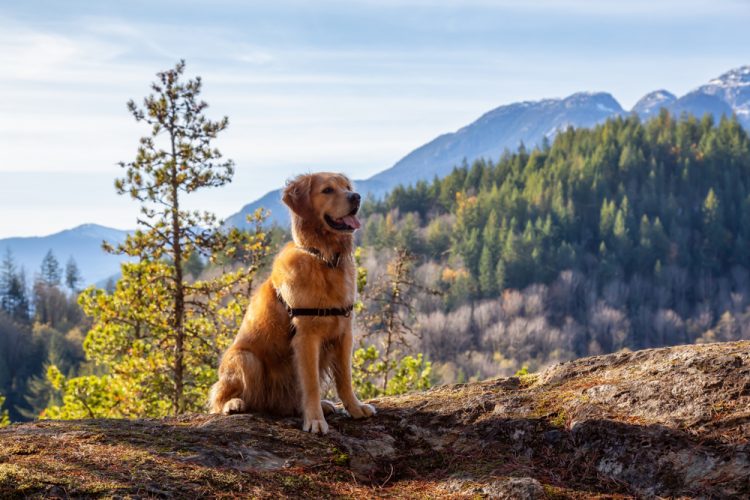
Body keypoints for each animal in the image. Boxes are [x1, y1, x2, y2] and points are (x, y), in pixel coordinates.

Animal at [210, 172, 376, 434]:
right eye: (327, 190)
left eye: (347, 186)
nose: (356, 196)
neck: (323, 258)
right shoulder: (306, 337)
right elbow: (311, 385)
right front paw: (315, 421)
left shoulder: (344, 333)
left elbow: (345, 380)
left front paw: (355, 408)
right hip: (246, 359)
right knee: (221, 397)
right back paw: (234, 404)